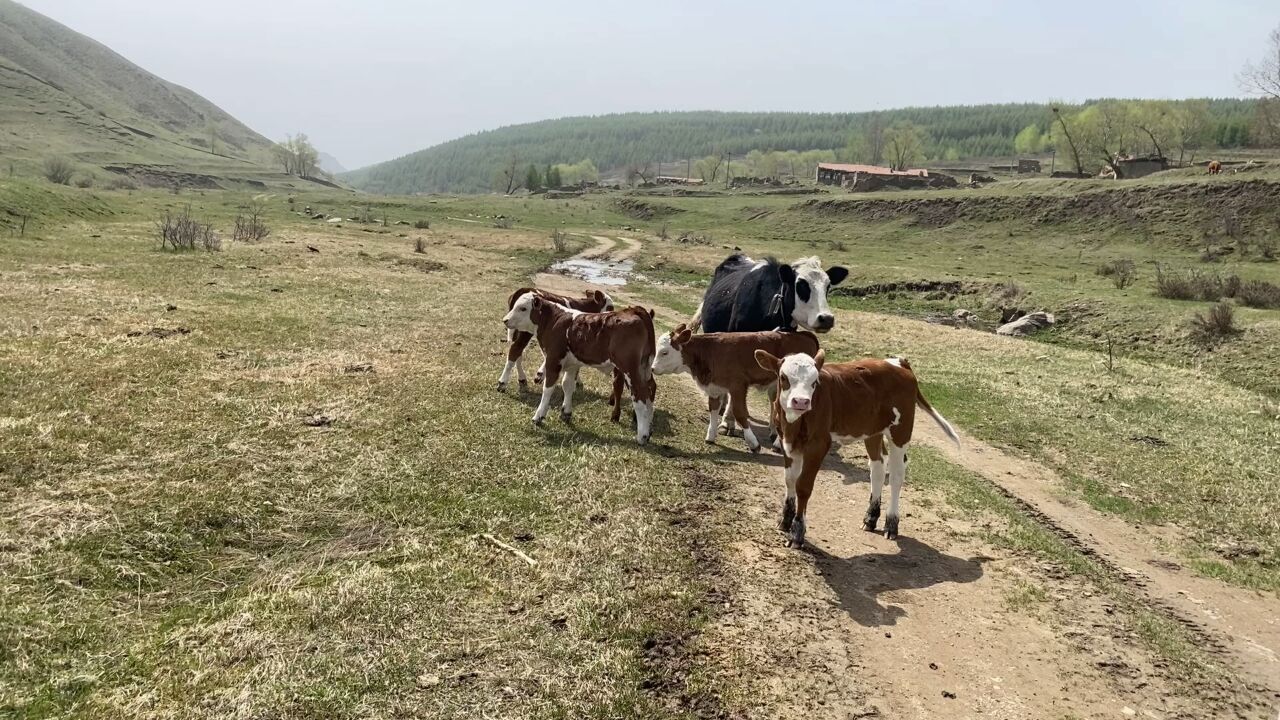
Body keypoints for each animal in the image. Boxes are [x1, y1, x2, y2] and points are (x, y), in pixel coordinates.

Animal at [501, 292, 660, 443]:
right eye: (515, 306)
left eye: (523, 308)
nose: (505, 320)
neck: (554, 320)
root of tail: (634, 311)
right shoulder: (572, 364)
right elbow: (567, 385)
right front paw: (566, 412)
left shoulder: (553, 361)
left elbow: (548, 389)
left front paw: (539, 416)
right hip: (644, 369)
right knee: (649, 391)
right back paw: (649, 428)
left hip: (629, 369)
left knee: (640, 396)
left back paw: (642, 435)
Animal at [650, 324, 819, 450]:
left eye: (664, 352)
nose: (652, 369)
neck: (711, 351)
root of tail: (805, 335)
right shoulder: (715, 387)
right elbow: (713, 409)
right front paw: (710, 436)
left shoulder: (738, 386)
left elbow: (740, 412)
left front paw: (753, 443)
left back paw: (778, 443)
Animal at [752, 348, 957, 543]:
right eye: (783, 377)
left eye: (815, 381)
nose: (801, 401)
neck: (793, 425)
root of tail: (898, 362)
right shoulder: (787, 441)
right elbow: (790, 480)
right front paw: (785, 521)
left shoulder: (818, 445)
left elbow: (803, 486)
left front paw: (797, 533)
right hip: (873, 432)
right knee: (878, 468)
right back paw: (871, 518)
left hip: (901, 431)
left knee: (896, 474)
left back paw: (891, 524)